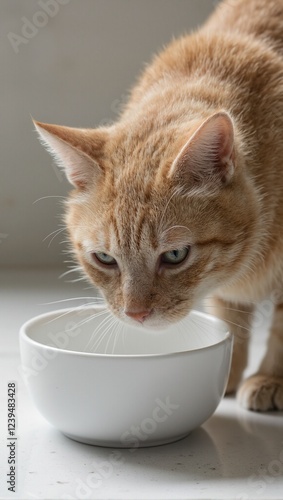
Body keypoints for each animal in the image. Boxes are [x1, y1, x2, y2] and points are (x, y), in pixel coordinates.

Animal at [35, 0, 283, 412]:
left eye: (176, 255)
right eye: (105, 258)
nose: (136, 314)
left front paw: (270, 377)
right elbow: (229, 316)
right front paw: (229, 371)